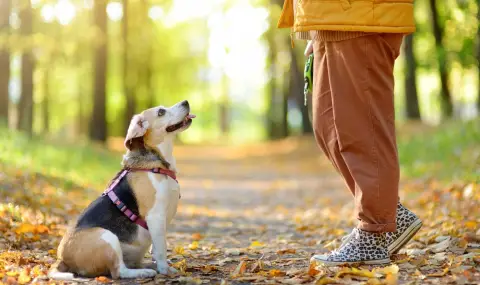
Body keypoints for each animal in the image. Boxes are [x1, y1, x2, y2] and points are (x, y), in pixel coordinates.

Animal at [49, 100, 197, 280]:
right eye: (161, 112)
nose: (186, 102)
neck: (157, 164)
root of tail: (62, 259)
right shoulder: (155, 216)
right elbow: (161, 249)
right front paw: (165, 270)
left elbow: (157, 248)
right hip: (106, 236)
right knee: (118, 271)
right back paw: (144, 272)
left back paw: (147, 266)